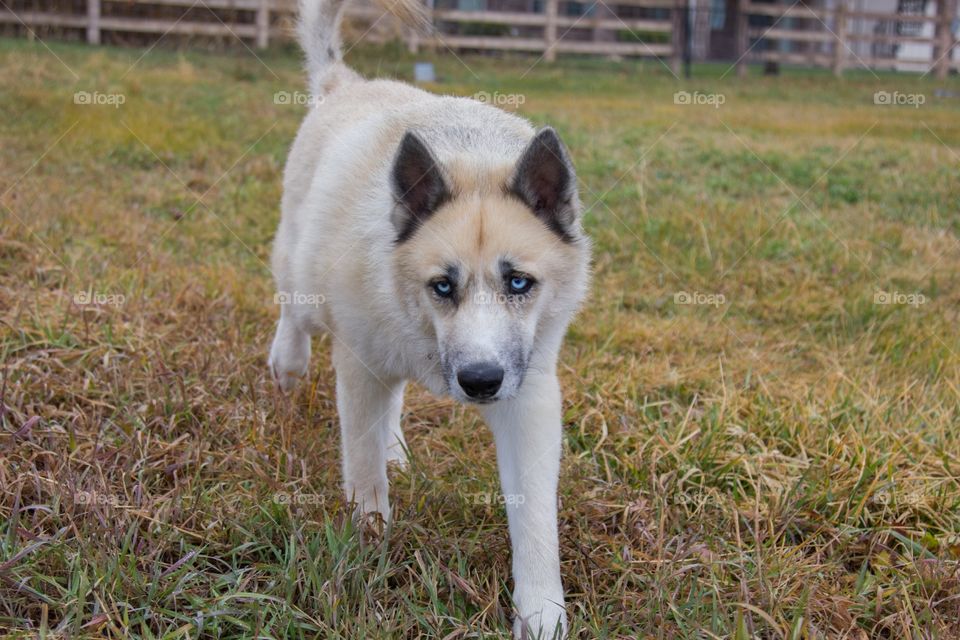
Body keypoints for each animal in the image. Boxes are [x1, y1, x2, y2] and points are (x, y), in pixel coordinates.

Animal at [266, 0, 588, 632]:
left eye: (520, 283)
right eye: (443, 286)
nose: (480, 382)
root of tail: (348, 83)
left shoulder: (530, 399)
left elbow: (535, 516)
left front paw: (541, 612)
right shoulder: (359, 368)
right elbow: (364, 471)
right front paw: (368, 548)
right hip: (307, 284)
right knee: (294, 312)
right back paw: (287, 367)